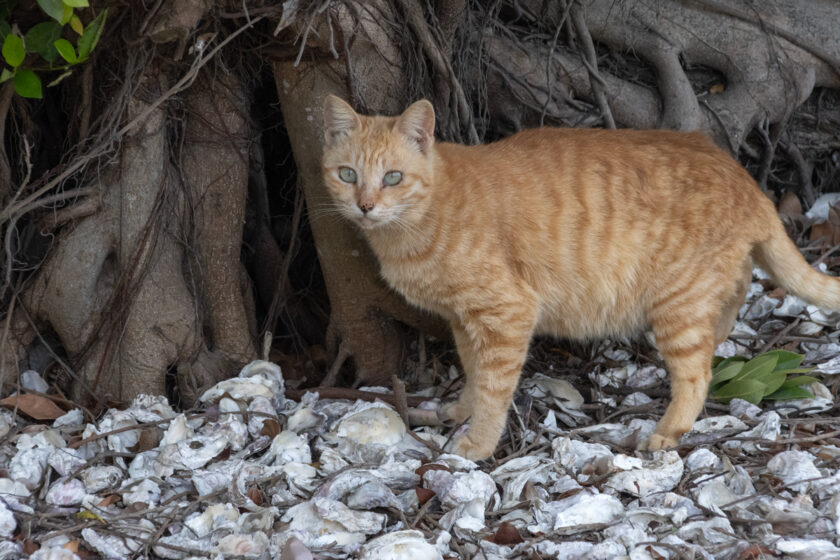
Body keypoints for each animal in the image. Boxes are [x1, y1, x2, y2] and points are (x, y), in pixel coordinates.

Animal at [320, 95, 840, 460]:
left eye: (392, 177)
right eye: (347, 174)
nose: (365, 205)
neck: (417, 223)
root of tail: (747, 179)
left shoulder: (506, 314)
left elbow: (493, 388)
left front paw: (478, 443)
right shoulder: (464, 321)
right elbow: (473, 373)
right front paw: (462, 409)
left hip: (677, 305)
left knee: (698, 374)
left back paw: (668, 431)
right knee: (730, 307)